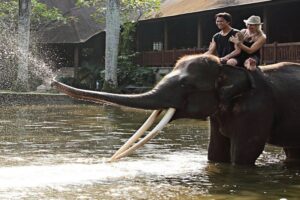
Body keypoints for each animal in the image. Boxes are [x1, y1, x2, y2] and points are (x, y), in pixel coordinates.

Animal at [51, 54, 300, 165]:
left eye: (185, 85)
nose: (53, 82)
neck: (227, 68)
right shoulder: (219, 113)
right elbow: (215, 153)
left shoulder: (257, 108)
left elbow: (244, 153)